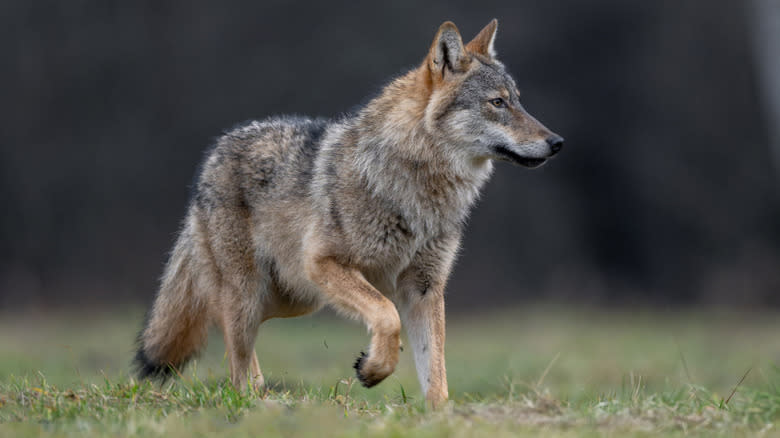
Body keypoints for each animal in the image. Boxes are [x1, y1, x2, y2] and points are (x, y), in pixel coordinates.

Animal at [134, 19, 563, 407]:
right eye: (497, 103)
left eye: (518, 100)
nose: (557, 142)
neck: (416, 184)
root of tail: (215, 151)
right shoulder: (327, 263)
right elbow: (387, 316)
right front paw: (373, 369)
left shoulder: (425, 288)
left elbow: (437, 372)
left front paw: (440, 415)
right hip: (254, 292)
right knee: (230, 350)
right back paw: (257, 402)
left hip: (295, 297)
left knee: (223, 329)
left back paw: (263, 393)